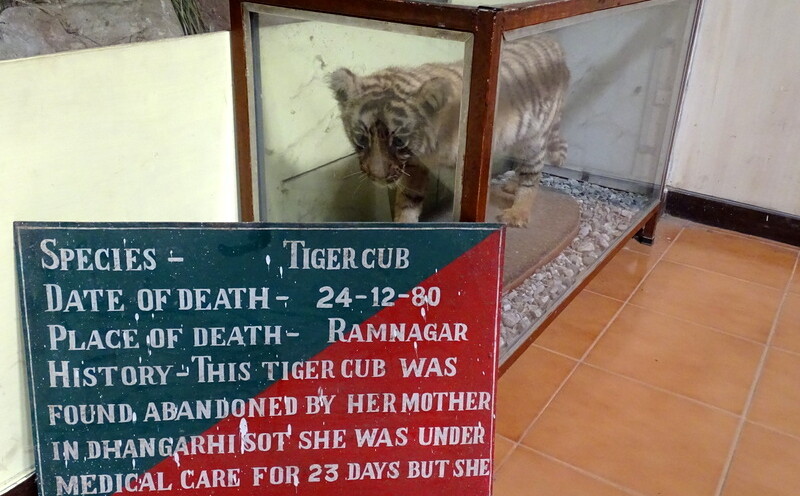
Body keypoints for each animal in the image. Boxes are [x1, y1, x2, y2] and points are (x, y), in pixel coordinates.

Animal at [328, 35, 569, 227]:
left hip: (534, 140)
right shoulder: (415, 166)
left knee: (532, 176)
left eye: (399, 142)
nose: (377, 176)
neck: (426, 150)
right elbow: (407, 200)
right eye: (361, 138)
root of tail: (554, 43)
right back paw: (510, 186)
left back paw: (517, 213)